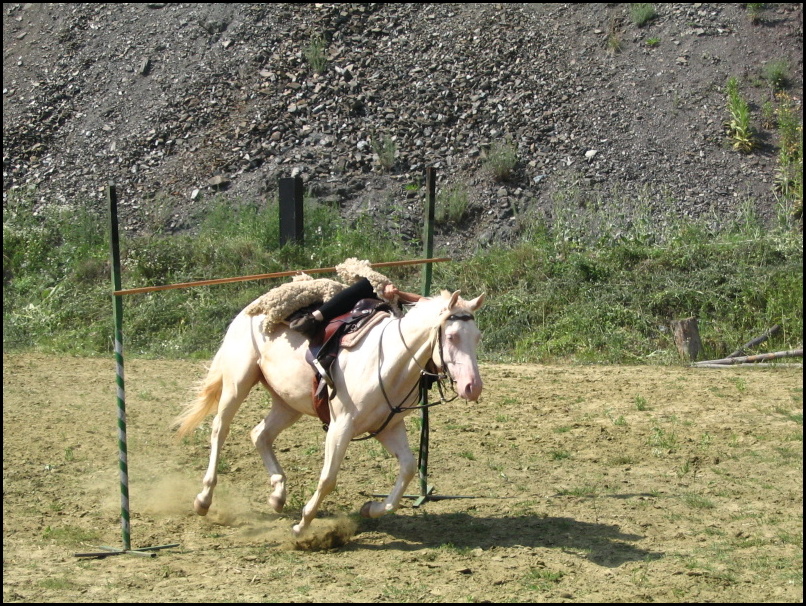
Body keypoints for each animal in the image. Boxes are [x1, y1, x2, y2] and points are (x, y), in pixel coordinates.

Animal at [177, 292, 486, 536]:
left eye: (477, 338)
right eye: (451, 336)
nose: (473, 387)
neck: (387, 360)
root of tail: (248, 311)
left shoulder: (388, 428)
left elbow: (408, 469)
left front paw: (371, 508)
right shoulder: (341, 426)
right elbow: (328, 479)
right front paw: (302, 525)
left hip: (288, 403)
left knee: (260, 434)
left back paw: (277, 494)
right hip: (237, 384)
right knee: (220, 430)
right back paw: (204, 499)